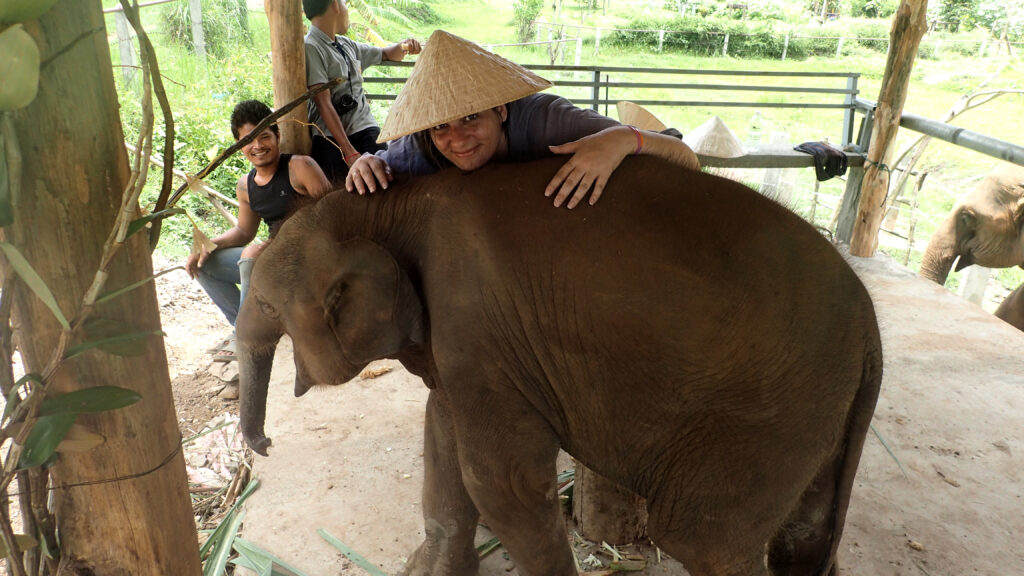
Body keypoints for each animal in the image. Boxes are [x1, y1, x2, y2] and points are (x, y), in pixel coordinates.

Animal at [235, 155, 884, 573]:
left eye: (264, 304)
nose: (263, 446)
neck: (387, 206)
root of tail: (870, 326)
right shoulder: (468, 347)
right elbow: (442, 437)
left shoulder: (475, 324)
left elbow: (502, 484)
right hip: (813, 418)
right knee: (804, 537)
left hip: (764, 417)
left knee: (703, 540)